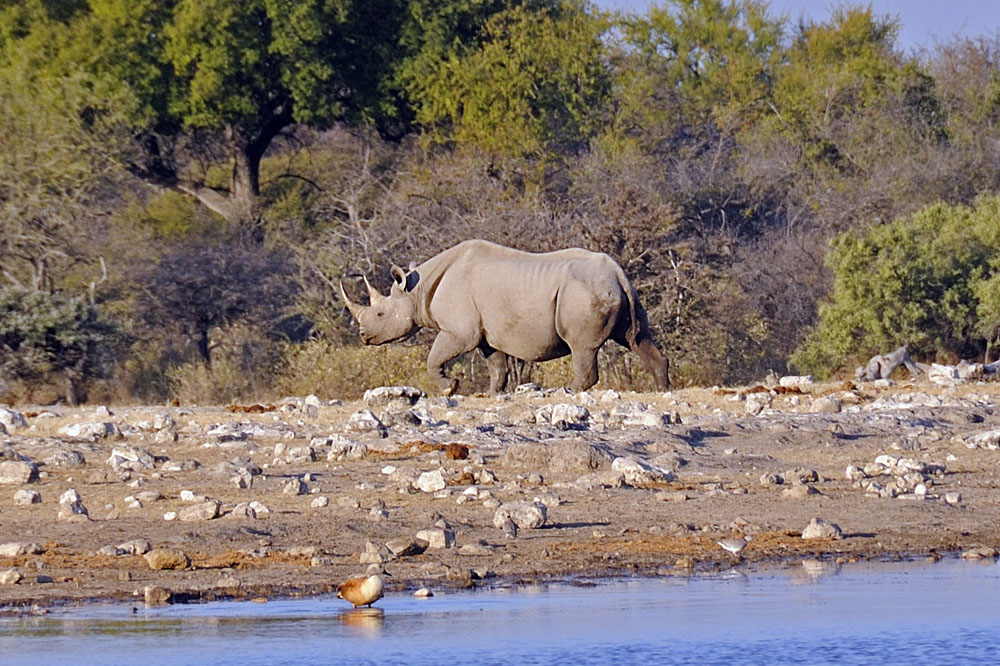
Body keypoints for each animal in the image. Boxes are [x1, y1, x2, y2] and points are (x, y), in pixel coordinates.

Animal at [339, 239, 669, 394]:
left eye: (380, 313)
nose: (363, 336)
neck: (416, 289)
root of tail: (617, 272)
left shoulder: (461, 331)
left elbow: (434, 357)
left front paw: (450, 387)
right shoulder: (486, 332)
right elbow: (497, 366)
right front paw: (491, 393)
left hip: (584, 292)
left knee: (582, 347)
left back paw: (564, 391)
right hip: (615, 292)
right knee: (636, 338)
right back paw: (663, 388)